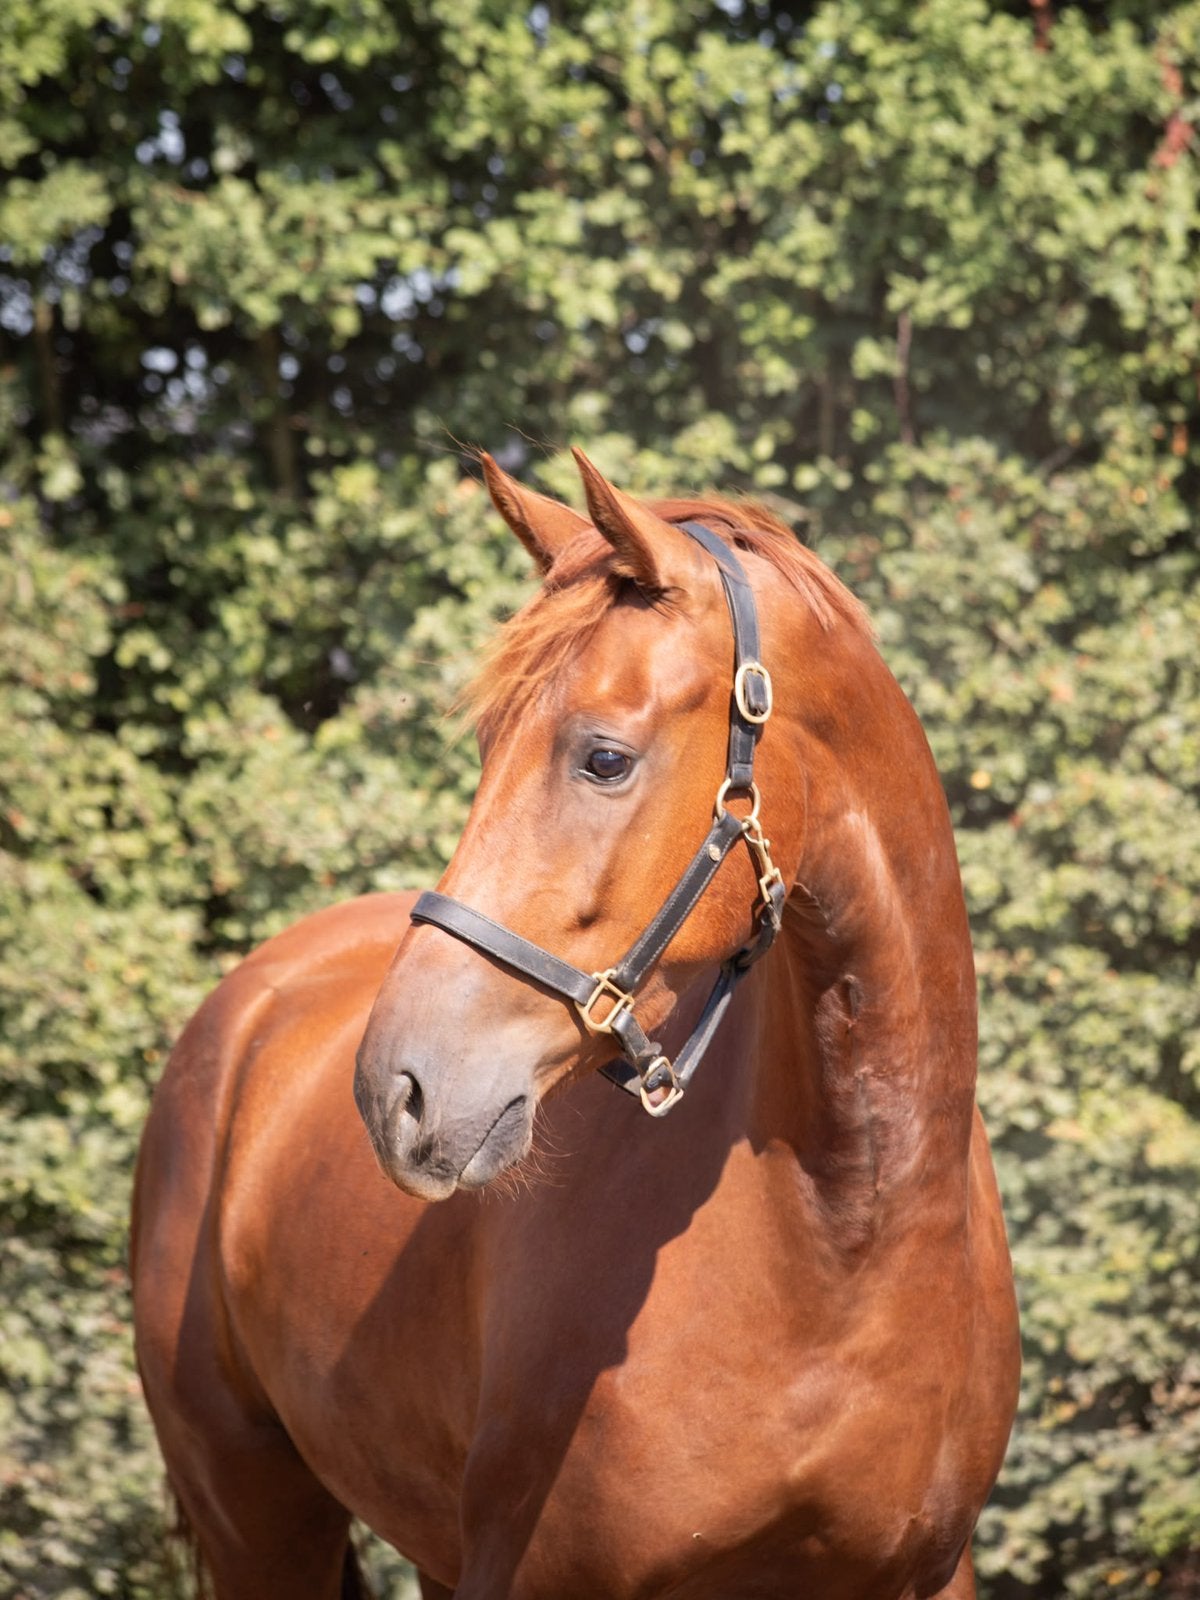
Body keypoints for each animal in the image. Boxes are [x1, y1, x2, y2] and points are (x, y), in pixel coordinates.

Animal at [131, 448, 1020, 1600]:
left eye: (603, 757)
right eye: (485, 744)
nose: (395, 1090)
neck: (851, 1239)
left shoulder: (927, 1571)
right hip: (258, 1518)